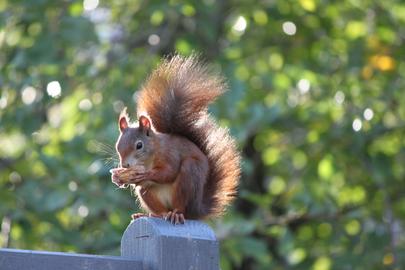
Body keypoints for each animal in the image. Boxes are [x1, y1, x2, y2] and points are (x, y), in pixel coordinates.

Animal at [109, 54, 240, 224]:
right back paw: (149, 215)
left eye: (139, 145)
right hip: (147, 194)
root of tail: (196, 210)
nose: (125, 165)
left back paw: (176, 214)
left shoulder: (170, 153)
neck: (150, 157)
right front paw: (117, 178)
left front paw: (146, 174)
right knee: (157, 206)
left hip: (189, 177)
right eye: (118, 146)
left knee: (180, 206)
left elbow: (169, 172)